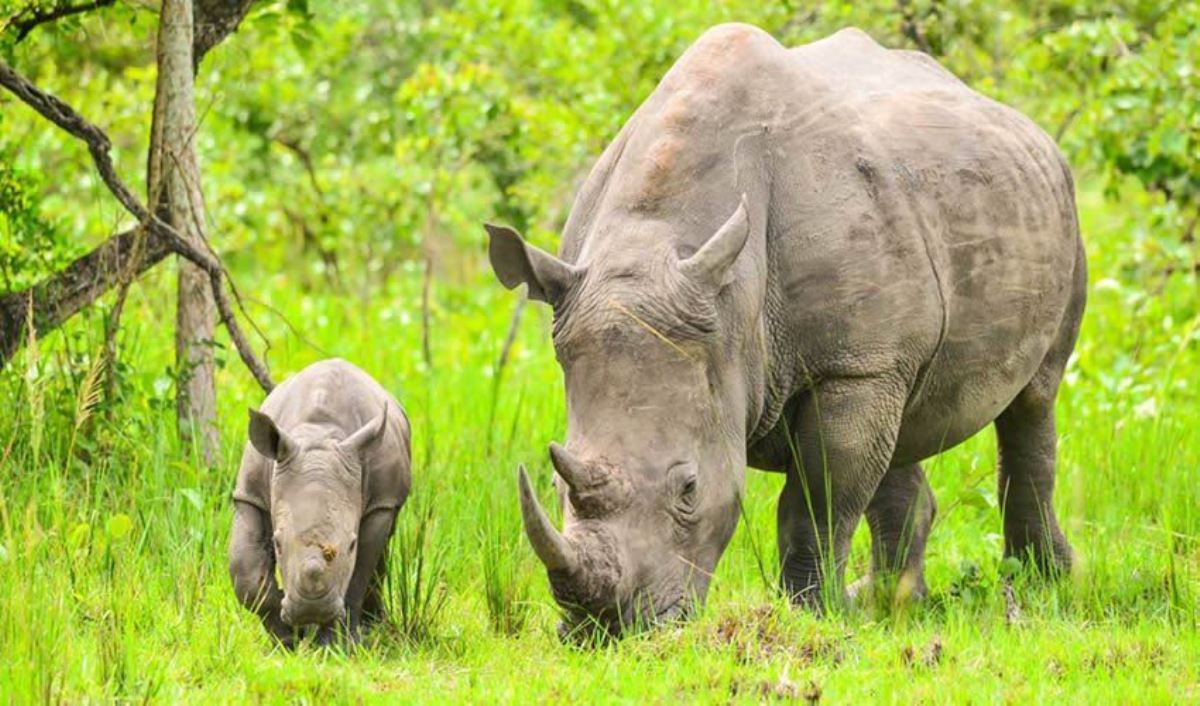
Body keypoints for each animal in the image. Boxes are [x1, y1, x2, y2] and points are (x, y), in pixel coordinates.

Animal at [226, 360, 410, 643]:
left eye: (351, 544)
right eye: (277, 543)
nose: (310, 609)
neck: (319, 435)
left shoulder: (382, 502)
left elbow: (356, 576)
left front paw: (335, 645)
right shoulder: (250, 495)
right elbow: (245, 574)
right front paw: (287, 639)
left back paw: (371, 626)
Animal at [482, 23, 1084, 638]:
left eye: (689, 489)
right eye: (558, 488)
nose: (608, 630)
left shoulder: (852, 367)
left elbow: (816, 501)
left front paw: (812, 615)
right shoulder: (863, 359)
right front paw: (839, 611)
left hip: (1060, 205)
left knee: (1034, 400)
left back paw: (1039, 583)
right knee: (901, 423)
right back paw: (890, 603)